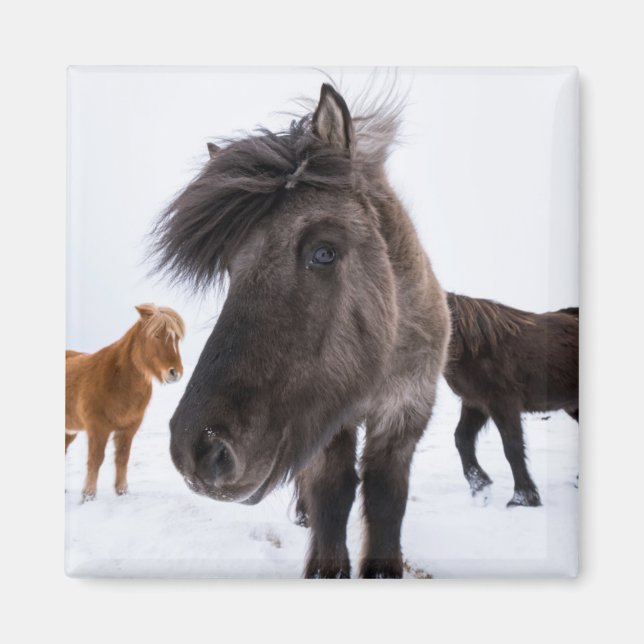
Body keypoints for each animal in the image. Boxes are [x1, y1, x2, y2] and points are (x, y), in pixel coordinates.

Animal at [65, 304, 185, 501]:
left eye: (176, 338)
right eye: (156, 335)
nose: (175, 372)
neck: (118, 380)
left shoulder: (128, 428)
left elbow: (122, 457)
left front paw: (122, 491)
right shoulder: (97, 428)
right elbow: (96, 459)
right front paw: (88, 496)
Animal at [150, 83, 450, 578]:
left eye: (324, 252)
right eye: (231, 267)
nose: (198, 450)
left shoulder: (404, 414)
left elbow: (386, 497)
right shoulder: (329, 420)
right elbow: (332, 492)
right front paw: (326, 566)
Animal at [444, 292, 579, 507]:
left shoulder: (503, 403)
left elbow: (512, 447)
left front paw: (523, 498)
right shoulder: (476, 403)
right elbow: (462, 438)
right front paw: (480, 487)